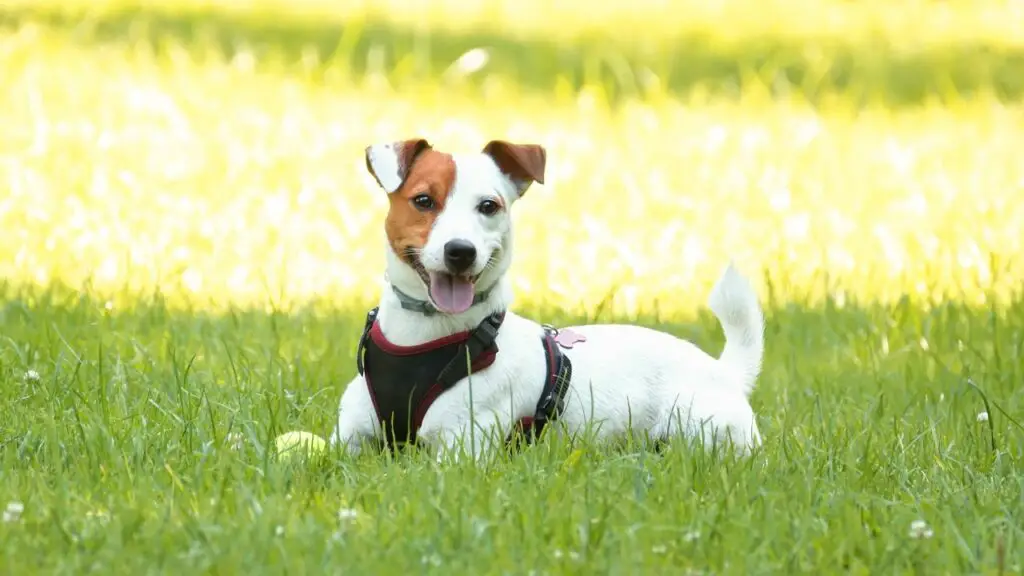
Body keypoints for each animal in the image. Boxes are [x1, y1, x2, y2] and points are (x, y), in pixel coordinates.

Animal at [331, 138, 765, 457]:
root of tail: (725, 371)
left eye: (488, 206)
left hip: (704, 429)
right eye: (423, 201)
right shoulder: (348, 436)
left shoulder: (462, 447)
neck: (424, 337)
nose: (461, 251)